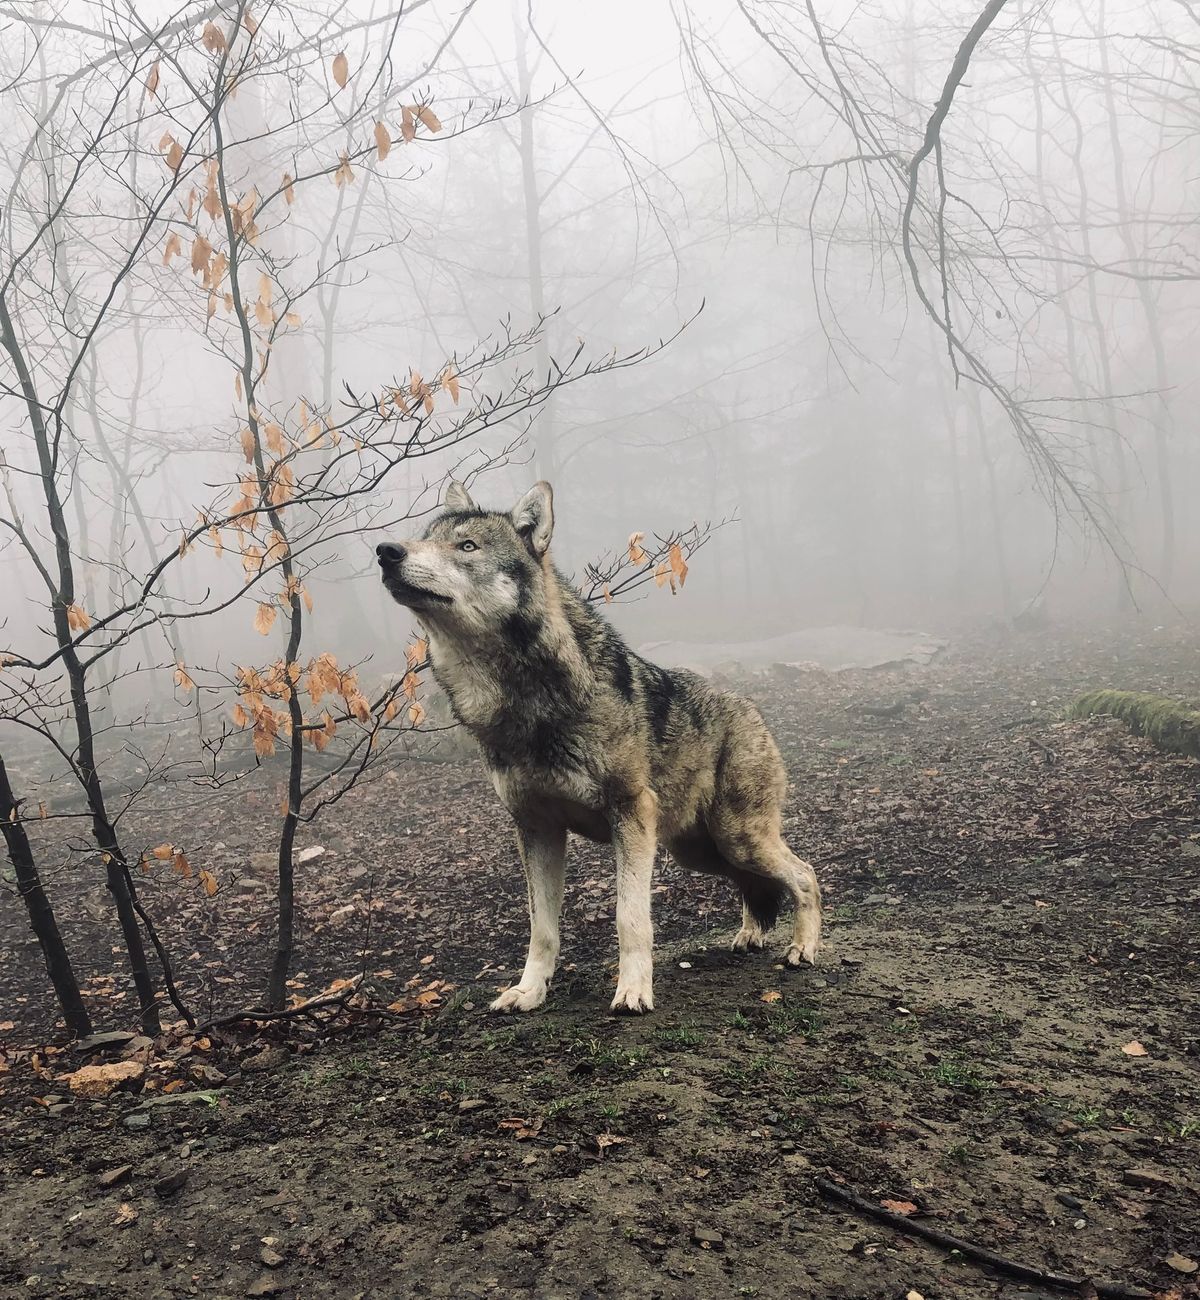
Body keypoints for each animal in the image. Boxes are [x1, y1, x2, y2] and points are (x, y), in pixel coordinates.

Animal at [377, 483, 826, 1008]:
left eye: (466, 547)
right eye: (425, 538)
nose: (387, 551)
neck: (528, 704)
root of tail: (751, 707)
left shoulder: (629, 815)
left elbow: (630, 918)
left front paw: (633, 992)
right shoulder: (536, 828)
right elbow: (542, 929)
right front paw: (529, 992)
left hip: (736, 838)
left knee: (804, 875)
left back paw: (802, 948)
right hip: (700, 851)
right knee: (756, 886)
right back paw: (751, 935)